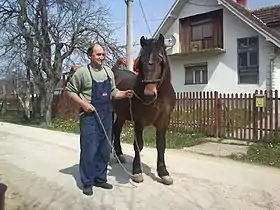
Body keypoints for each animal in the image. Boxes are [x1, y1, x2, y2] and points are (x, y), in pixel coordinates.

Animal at [111, 33, 175, 185]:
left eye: (160, 60)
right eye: (141, 61)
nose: (149, 94)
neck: (159, 98)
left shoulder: (163, 122)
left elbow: (161, 145)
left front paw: (163, 173)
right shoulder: (139, 122)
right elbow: (138, 145)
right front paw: (137, 171)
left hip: (121, 115)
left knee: (117, 130)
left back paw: (119, 155)